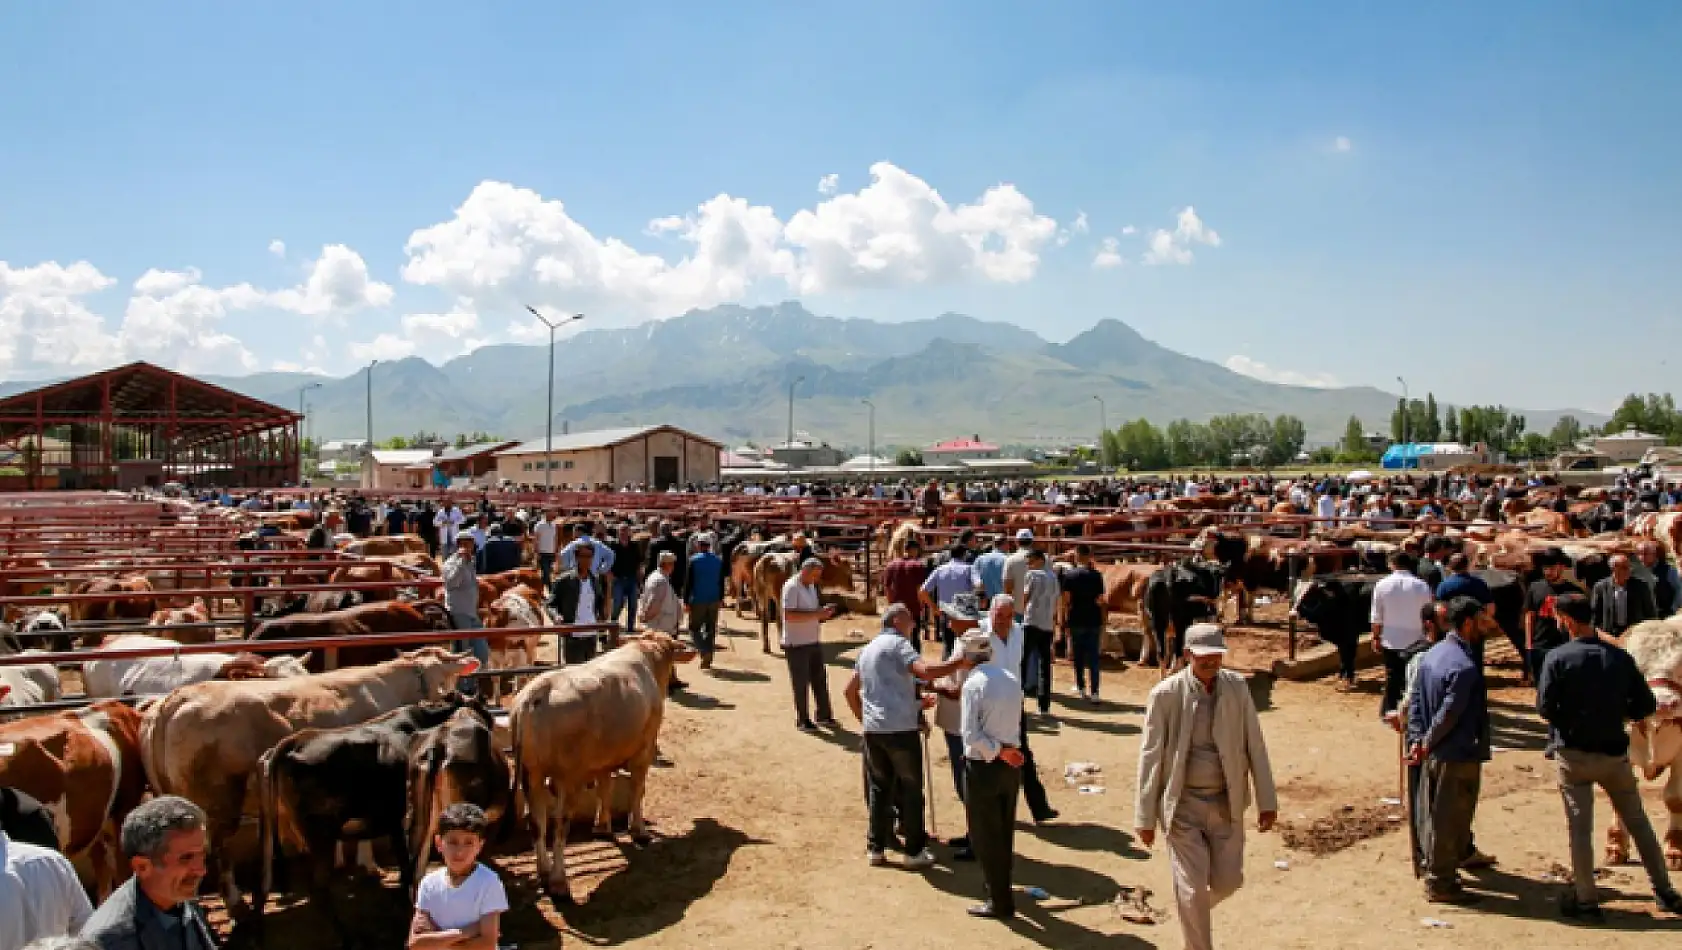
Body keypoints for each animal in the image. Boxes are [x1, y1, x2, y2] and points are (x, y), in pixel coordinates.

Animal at [140, 645, 477, 907]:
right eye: (446, 676)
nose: (451, 696)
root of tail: (173, 700)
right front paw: (368, 864)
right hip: (219, 805)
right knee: (216, 850)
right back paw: (233, 897)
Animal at [511, 632, 696, 901]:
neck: (649, 654)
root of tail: (537, 692)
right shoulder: (645, 749)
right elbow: (637, 789)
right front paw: (639, 830)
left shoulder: (603, 759)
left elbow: (605, 787)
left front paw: (602, 826)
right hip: (568, 778)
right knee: (560, 826)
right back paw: (559, 881)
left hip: (531, 774)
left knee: (537, 821)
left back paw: (543, 871)